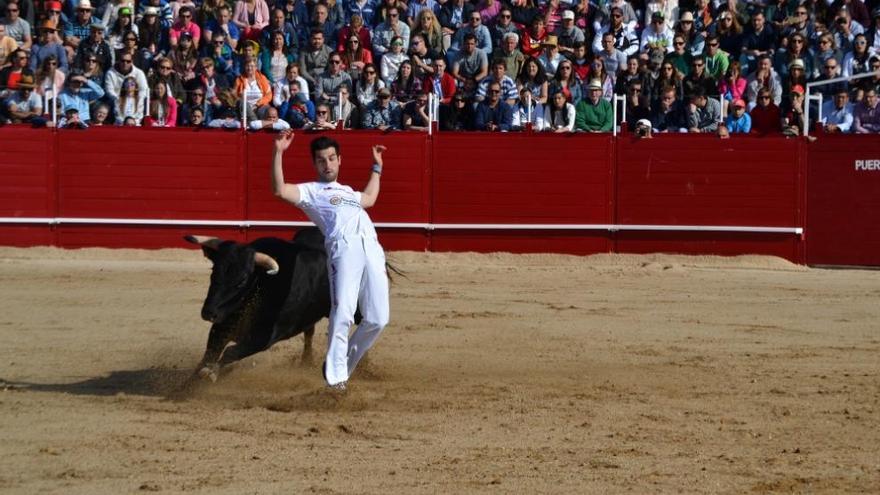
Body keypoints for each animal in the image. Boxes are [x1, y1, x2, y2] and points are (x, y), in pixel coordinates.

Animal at [184, 229, 360, 384]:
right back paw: (306, 362)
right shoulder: (222, 327)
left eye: (242, 280)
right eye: (213, 271)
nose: (209, 312)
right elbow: (209, 354)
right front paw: (188, 384)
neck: (262, 284)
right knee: (309, 332)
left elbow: (230, 352)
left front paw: (211, 373)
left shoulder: (266, 337)